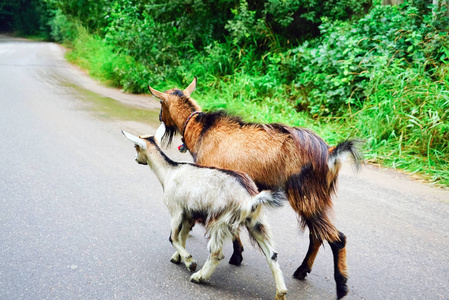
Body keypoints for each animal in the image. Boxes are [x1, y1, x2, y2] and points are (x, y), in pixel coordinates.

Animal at [121, 126, 288, 300]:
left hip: (220, 221)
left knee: (216, 253)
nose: (136, 159)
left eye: (136, 147)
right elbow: (183, 236)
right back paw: (281, 293)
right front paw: (178, 257)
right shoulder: (188, 214)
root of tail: (250, 198)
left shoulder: (176, 210)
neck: (170, 172)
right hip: (256, 222)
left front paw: (189, 261)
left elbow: (173, 238)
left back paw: (198, 276)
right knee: (272, 255)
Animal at [148, 78, 364, 298]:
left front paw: (231, 255)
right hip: (316, 197)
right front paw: (237, 255)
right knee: (317, 235)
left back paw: (341, 286)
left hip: (305, 194)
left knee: (337, 238)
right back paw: (302, 271)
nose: (159, 117)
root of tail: (330, 153)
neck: (201, 130)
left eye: (161, 104)